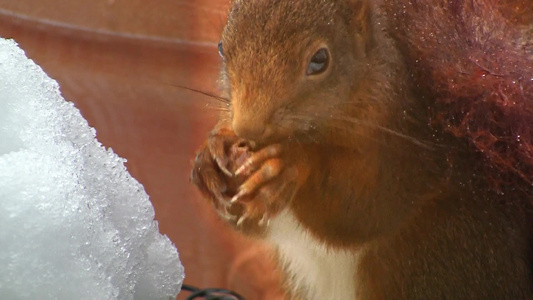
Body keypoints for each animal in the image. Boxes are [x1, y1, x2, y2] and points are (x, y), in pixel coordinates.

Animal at [191, 1, 532, 298]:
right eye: (220, 47)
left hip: (435, 254)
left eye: (320, 60)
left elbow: (361, 210)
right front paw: (210, 156)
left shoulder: (406, 153)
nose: (248, 129)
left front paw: (290, 162)